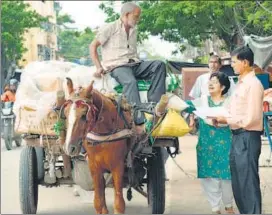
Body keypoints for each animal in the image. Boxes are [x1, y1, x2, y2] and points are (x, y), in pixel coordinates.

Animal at [56, 78, 135, 214]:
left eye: (84, 115)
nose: (69, 147)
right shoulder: (94, 166)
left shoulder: (118, 166)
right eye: (65, 114)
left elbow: (119, 204)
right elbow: (99, 203)